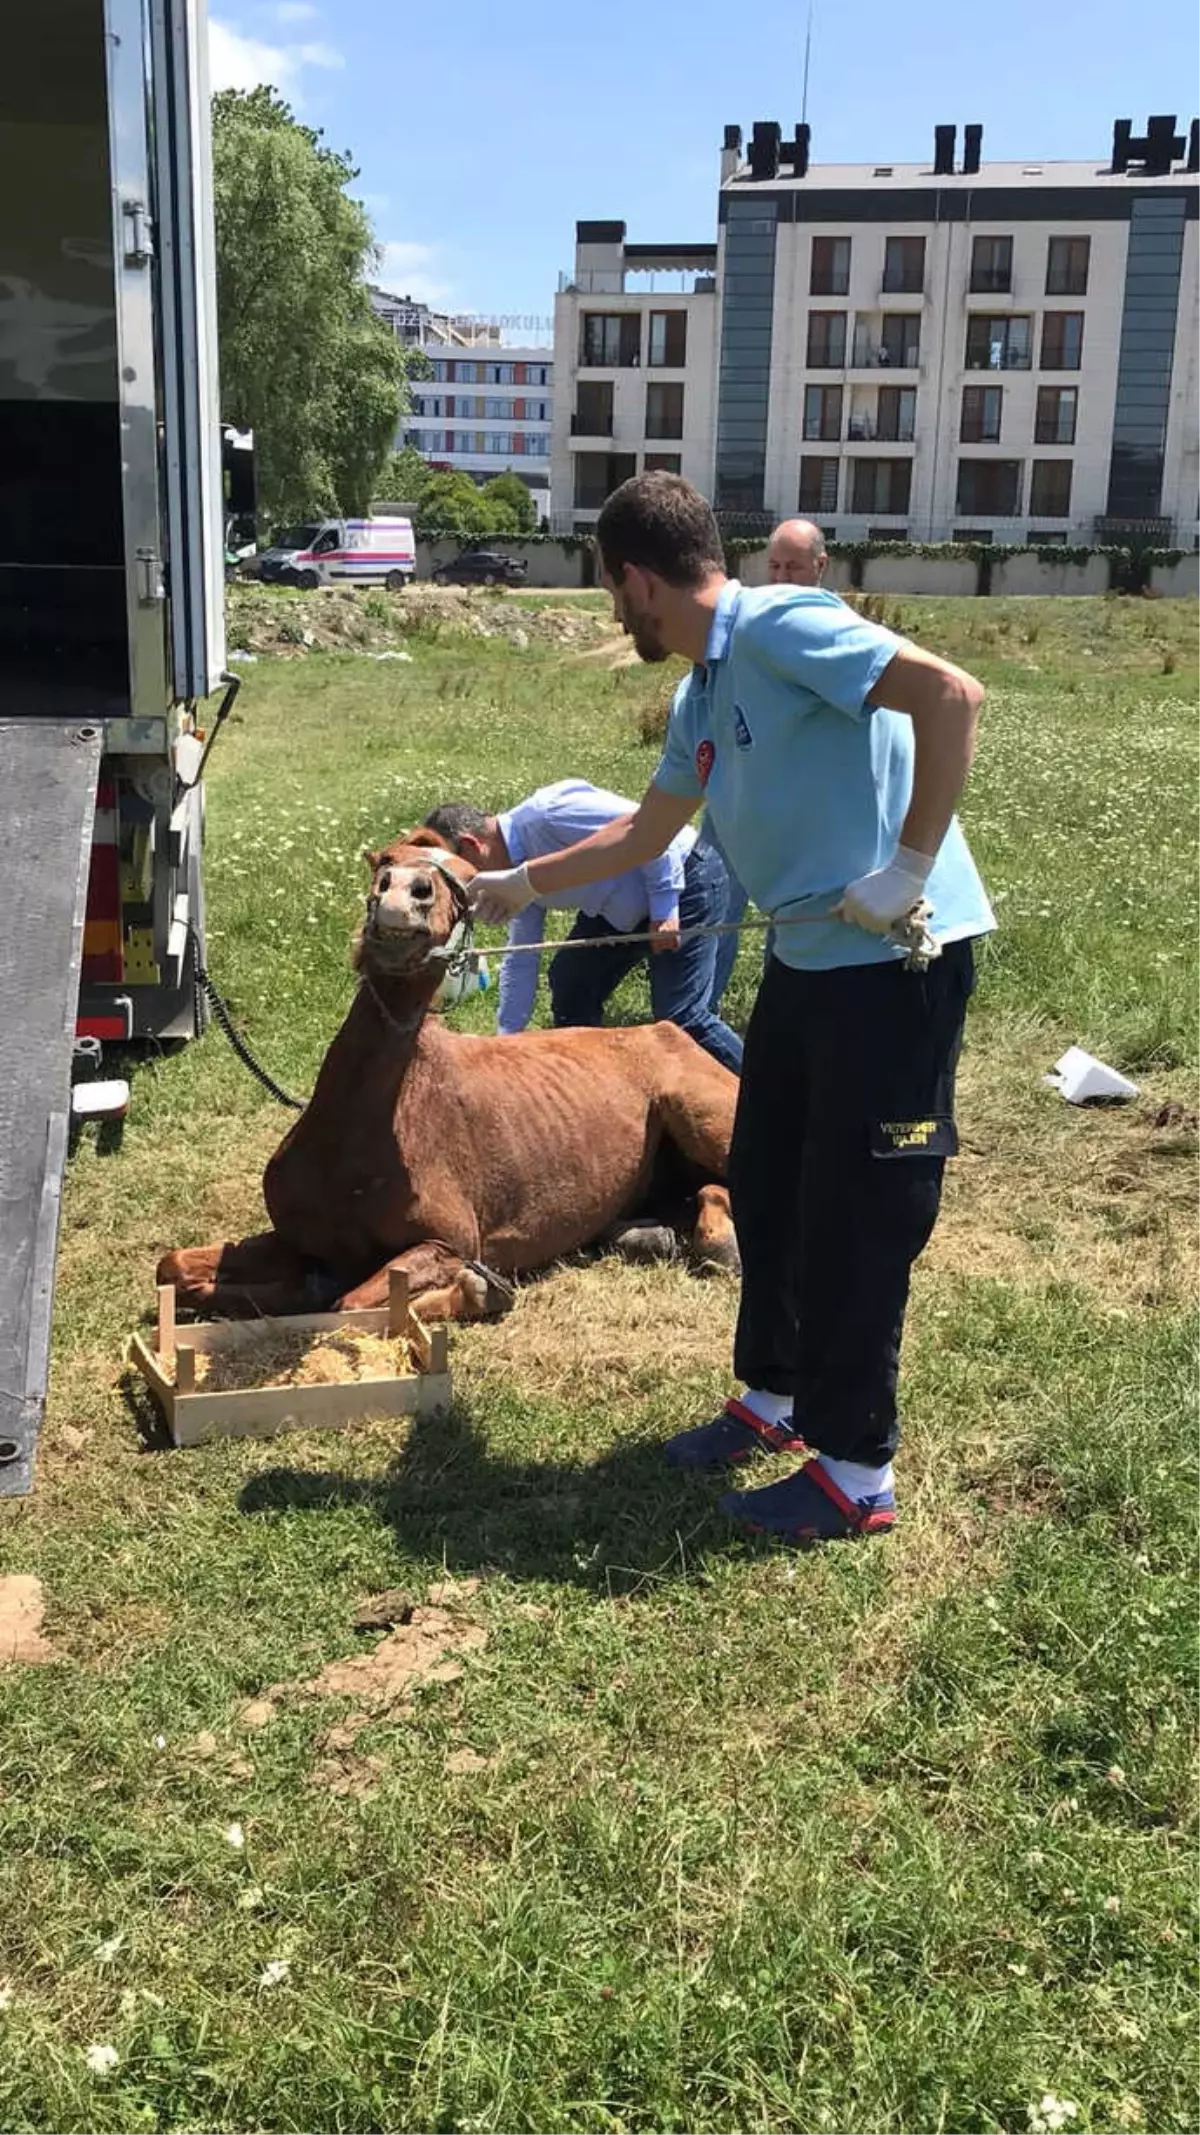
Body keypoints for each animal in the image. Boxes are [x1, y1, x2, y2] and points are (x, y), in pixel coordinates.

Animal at [159, 828, 738, 1315]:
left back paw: (718, 1241)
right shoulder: (298, 1241)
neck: (352, 1137)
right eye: (384, 862)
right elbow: (175, 1268)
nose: (400, 896)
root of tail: (666, 1030)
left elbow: (354, 1306)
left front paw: (479, 1290)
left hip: (703, 1117)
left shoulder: (447, 1243)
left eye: (464, 883)